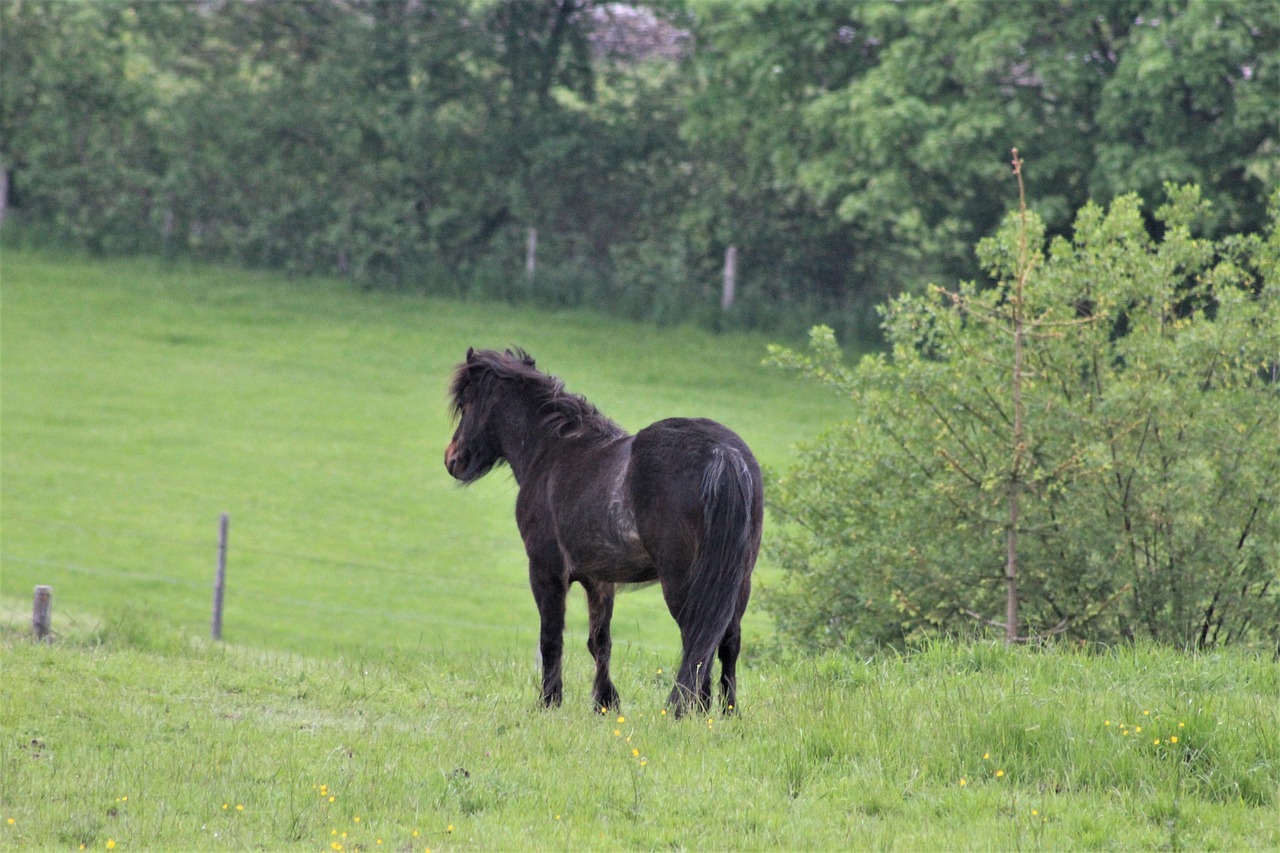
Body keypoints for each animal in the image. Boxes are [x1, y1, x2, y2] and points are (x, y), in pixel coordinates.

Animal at [445, 345, 757, 712]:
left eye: (466, 404)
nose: (453, 459)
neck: (554, 451)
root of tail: (723, 453)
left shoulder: (546, 571)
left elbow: (551, 638)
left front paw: (550, 702)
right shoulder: (600, 580)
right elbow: (599, 641)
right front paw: (605, 703)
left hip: (683, 580)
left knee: (697, 640)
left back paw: (689, 710)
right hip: (739, 579)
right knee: (727, 641)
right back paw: (725, 712)